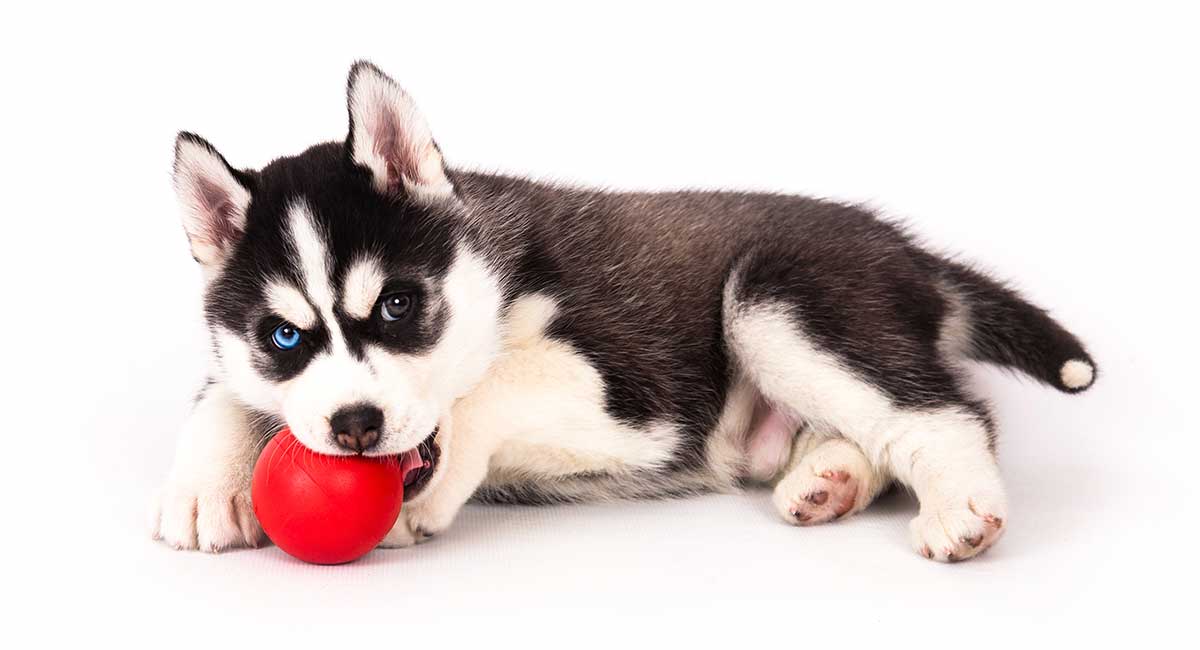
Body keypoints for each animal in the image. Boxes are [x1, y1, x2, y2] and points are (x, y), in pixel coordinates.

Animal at [150, 61, 1099, 563]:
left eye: (397, 305)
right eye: (284, 336)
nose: (353, 426)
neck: (494, 275)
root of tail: (905, 248)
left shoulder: (638, 395)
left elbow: (487, 392)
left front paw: (432, 487)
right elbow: (225, 388)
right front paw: (204, 483)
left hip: (773, 299)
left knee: (945, 412)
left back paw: (958, 505)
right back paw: (829, 478)